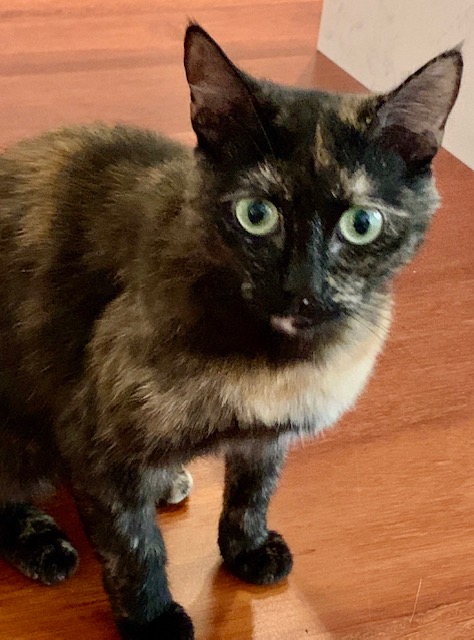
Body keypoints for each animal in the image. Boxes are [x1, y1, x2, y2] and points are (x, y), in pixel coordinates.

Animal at [0, 22, 462, 640]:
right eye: (256, 215)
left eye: (361, 224)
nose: (302, 290)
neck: (275, 357)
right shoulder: (91, 437)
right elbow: (133, 545)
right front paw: (152, 618)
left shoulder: (268, 435)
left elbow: (253, 492)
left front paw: (247, 551)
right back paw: (42, 543)